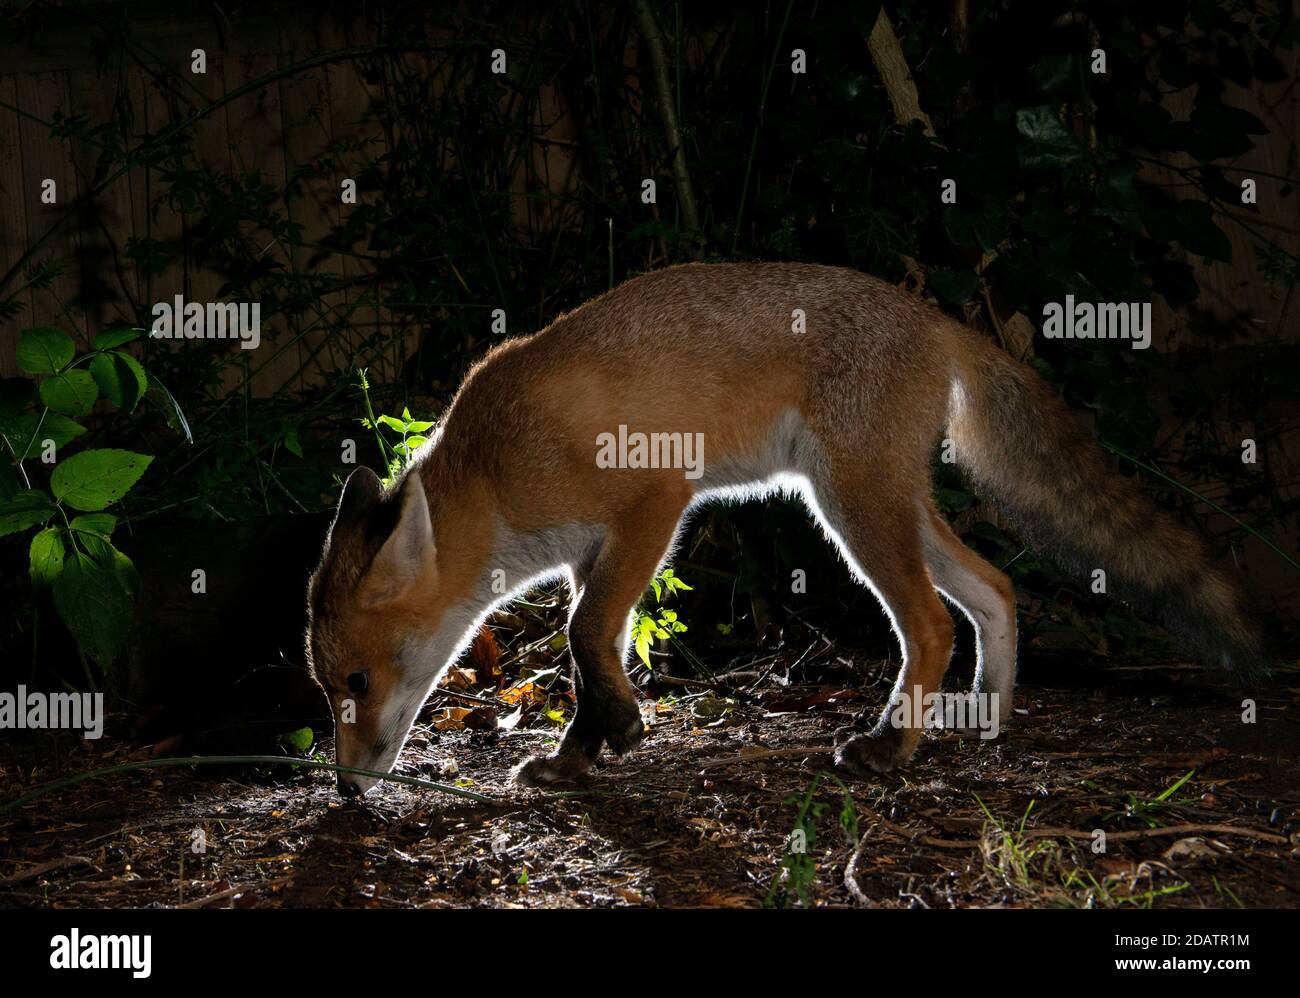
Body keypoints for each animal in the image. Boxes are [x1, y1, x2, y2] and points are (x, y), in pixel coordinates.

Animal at [301, 261, 1258, 800]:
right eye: (328, 688)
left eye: (357, 681)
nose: (344, 791)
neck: (499, 466)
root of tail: (935, 317)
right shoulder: (588, 553)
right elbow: (587, 656)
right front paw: (579, 760)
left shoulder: (654, 502)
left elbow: (579, 634)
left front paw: (619, 733)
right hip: (881, 501)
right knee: (996, 587)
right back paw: (988, 713)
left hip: (853, 507)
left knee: (933, 623)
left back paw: (890, 747)